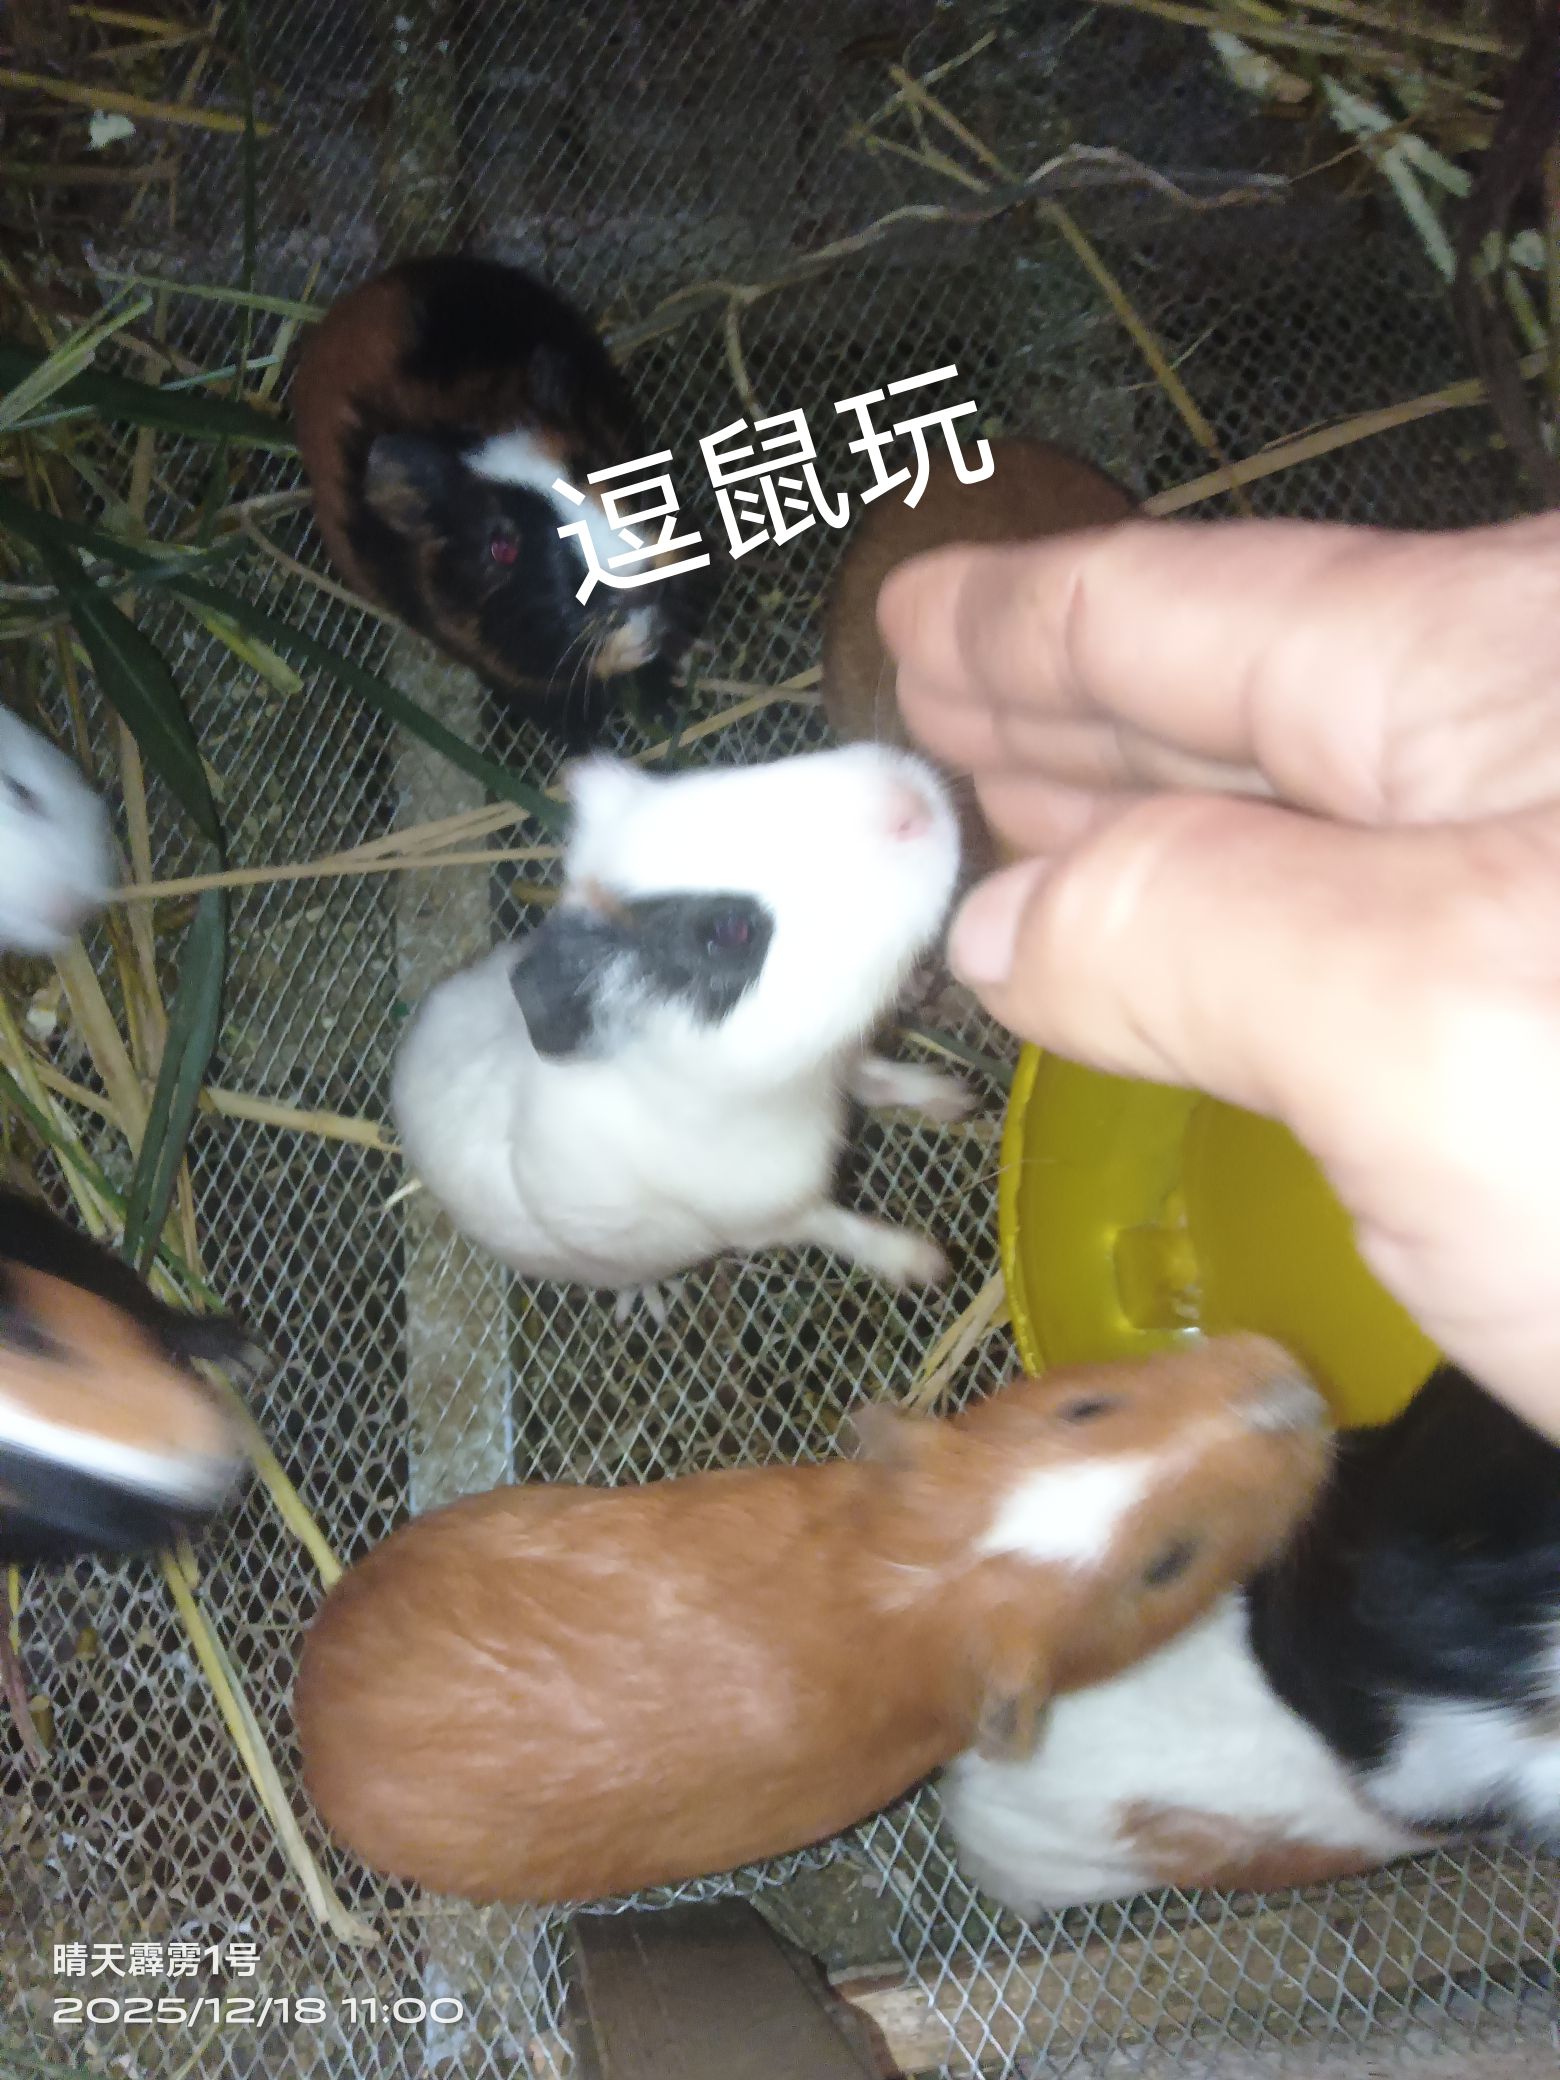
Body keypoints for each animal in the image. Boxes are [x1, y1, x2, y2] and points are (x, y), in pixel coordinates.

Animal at [389, 742, 973, 1321]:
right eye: (730, 931)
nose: (912, 802)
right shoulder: (776, 1217)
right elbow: (846, 1228)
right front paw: (930, 1264)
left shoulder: (841, 1061)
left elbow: (881, 1076)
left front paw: (959, 1099)